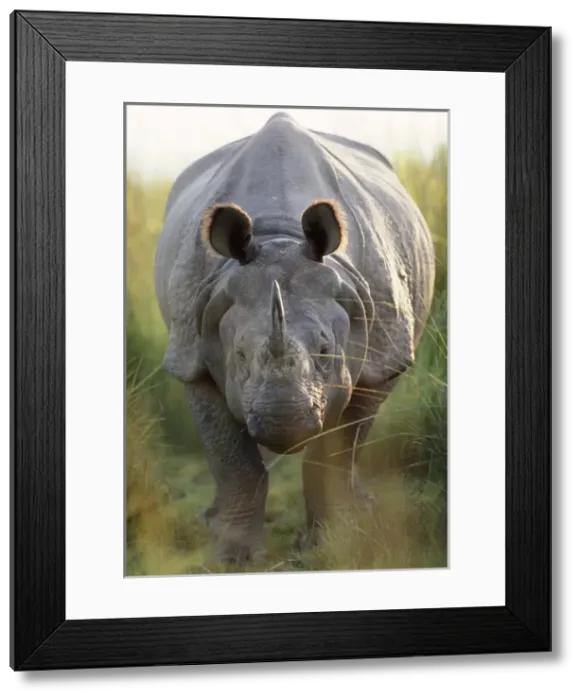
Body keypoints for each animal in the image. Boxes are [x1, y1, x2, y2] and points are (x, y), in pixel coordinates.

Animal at [154, 111, 436, 564]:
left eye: (325, 350)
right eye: (239, 355)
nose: (283, 418)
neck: (279, 236)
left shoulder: (380, 356)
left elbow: (335, 454)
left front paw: (333, 543)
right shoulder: (190, 353)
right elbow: (232, 459)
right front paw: (232, 559)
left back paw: (362, 509)